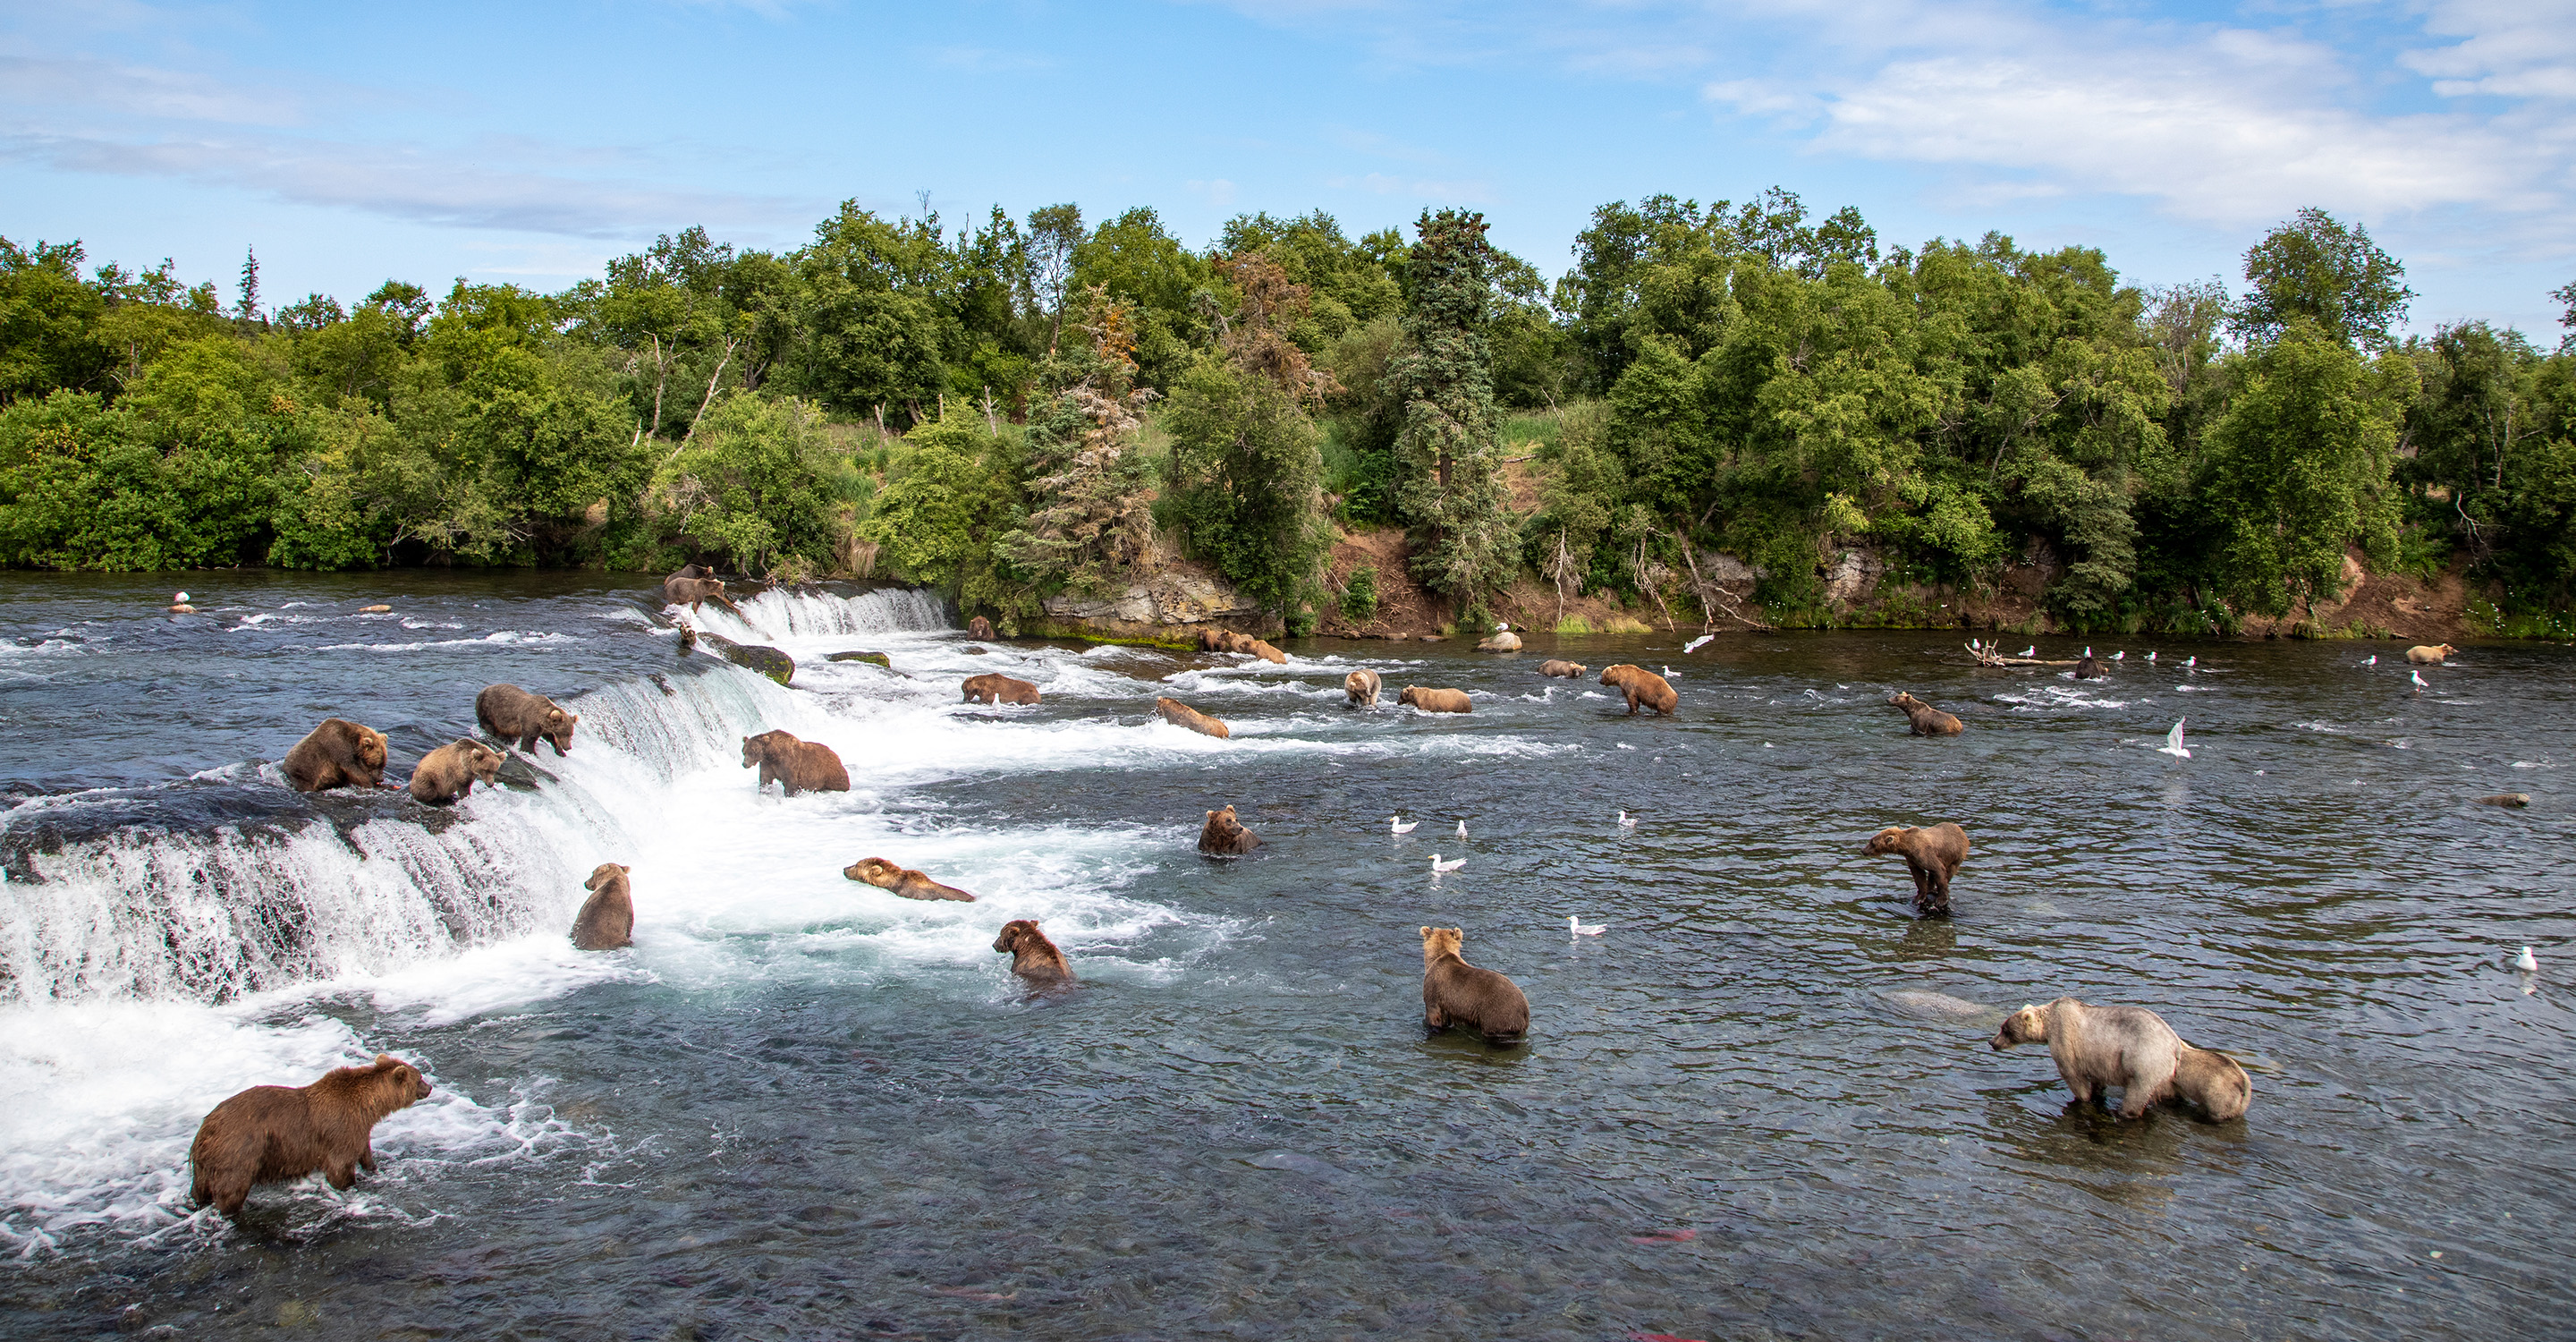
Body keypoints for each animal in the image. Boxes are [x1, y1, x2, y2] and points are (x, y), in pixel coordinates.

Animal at [188, 1054, 433, 1219]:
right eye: (419, 1077)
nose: (430, 1087)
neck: (367, 1107)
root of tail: (205, 1126)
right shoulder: (341, 1130)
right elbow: (339, 1169)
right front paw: (350, 1187)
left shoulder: (359, 1130)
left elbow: (365, 1152)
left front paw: (374, 1169)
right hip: (240, 1150)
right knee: (232, 1190)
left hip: (206, 1163)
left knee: (200, 1189)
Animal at [1990, 997, 2189, 1119]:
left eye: (2005, 1029)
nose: (1992, 1042)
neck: (2049, 1022)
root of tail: (2175, 1045)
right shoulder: (2099, 1058)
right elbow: (2098, 1079)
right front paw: (2096, 1094)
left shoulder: (2065, 1038)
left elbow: (2072, 1074)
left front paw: (2083, 1098)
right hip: (2164, 1070)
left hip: (2145, 1060)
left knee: (2137, 1095)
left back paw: (2124, 1113)